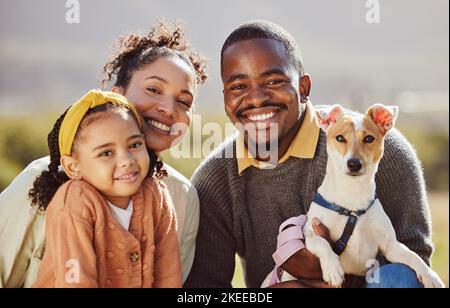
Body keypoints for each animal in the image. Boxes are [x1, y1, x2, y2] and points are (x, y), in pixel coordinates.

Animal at [262, 104, 444, 288]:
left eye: (369, 138)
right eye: (340, 138)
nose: (354, 163)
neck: (352, 199)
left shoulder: (390, 246)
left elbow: (412, 256)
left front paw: (430, 276)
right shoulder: (309, 233)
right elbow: (322, 243)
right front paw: (333, 269)